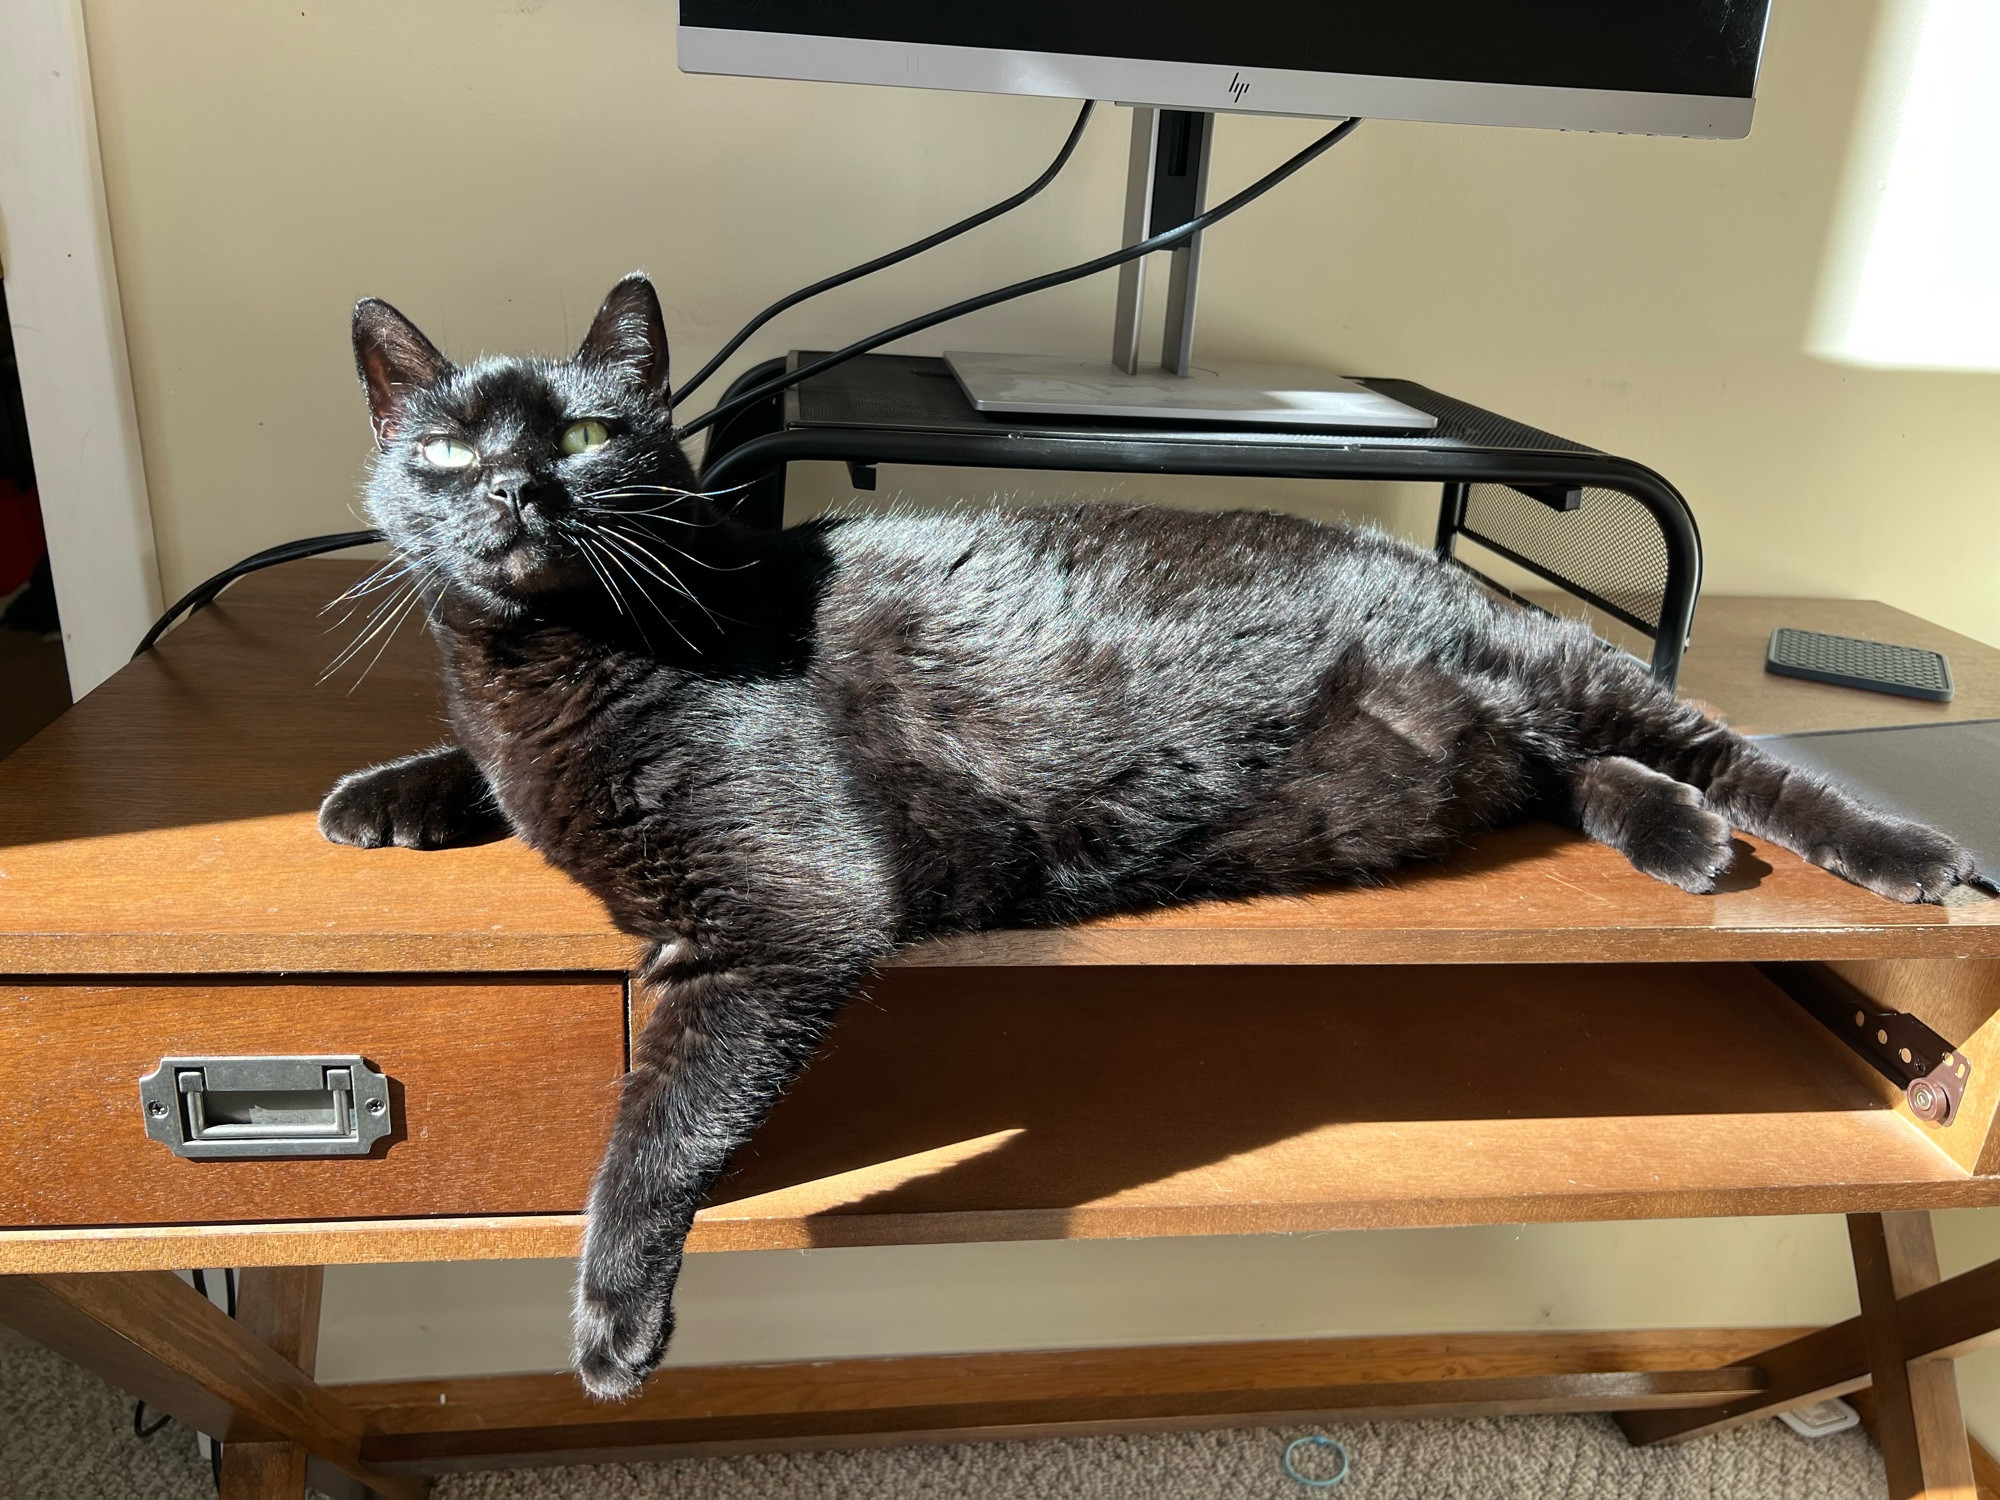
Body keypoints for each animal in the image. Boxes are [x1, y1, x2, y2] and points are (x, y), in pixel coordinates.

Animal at [320, 276, 1976, 1408]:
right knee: (1588, 777)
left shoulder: (786, 914)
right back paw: (1677, 839)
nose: (520, 487)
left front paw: (611, 1315)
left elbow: (656, 1123)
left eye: (593, 433)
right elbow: (483, 774)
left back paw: (1894, 850)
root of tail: (1432, 553)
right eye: (448, 451)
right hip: (1498, 740)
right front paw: (382, 793)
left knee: (1727, 747)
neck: (561, 651)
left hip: (1566, 669)